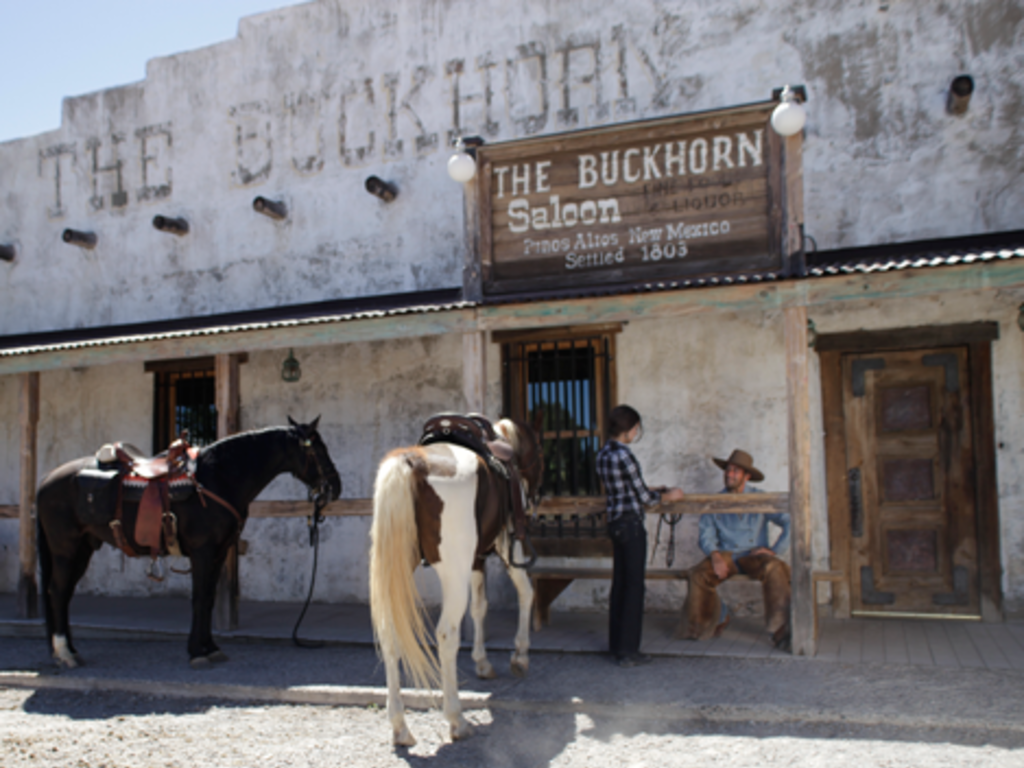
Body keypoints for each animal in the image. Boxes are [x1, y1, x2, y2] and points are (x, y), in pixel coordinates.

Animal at [36, 421, 339, 667]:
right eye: (317, 449)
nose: (335, 486)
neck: (217, 478)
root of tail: (46, 480)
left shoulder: (218, 553)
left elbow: (209, 599)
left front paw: (210, 648)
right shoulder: (202, 552)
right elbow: (199, 598)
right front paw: (197, 652)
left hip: (83, 549)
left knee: (63, 594)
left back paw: (69, 650)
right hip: (65, 549)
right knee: (57, 592)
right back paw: (65, 653)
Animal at [370, 417, 544, 749]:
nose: (533, 505)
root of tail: (412, 462)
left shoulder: (475, 561)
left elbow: (479, 608)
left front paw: (482, 662)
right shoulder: (508, 546)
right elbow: (526, 592)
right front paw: (520, 656)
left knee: (389, 634)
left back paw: (399, 726)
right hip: (454, 572)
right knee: (446, 635)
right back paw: (457, 719)